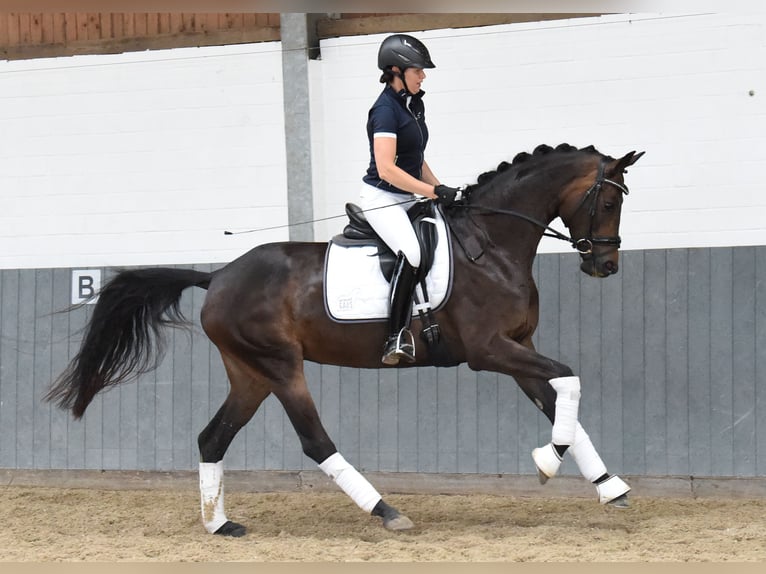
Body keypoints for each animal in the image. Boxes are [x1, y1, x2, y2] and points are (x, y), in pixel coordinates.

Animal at [46, 142, 648, 536]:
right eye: (609, 201)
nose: (606, 266)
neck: (491, 245)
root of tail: (216, 277)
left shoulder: (519, 347)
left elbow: (562, 399)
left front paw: (606, 484)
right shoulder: (489, 351)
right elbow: (569, 379)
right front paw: (548, 461)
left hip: (250, 373)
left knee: (213, 437)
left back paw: (221, 525)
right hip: (281, 366)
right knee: (315, 441)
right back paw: (386, 511)